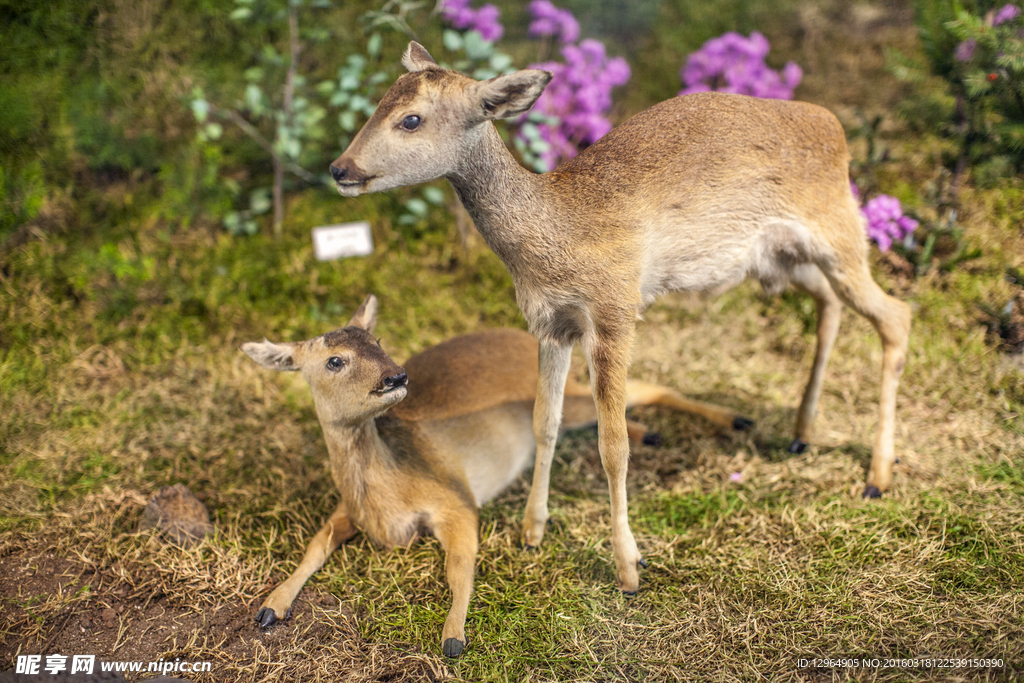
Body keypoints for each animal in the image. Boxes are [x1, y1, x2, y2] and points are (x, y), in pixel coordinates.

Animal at [327, 45, 913, 593]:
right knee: (832, 303)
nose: (339, 169)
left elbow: (615, 446)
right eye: (381, 101)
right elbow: (544, 422)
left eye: (411, 119)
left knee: (897, 315)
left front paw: (629, 568)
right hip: (782, 259)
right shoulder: (550, 321)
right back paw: (801, 433)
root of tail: (834, 127)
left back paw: (878, 475)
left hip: (840, 231)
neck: (551, 236)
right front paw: (532, 531)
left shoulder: (614, 310)